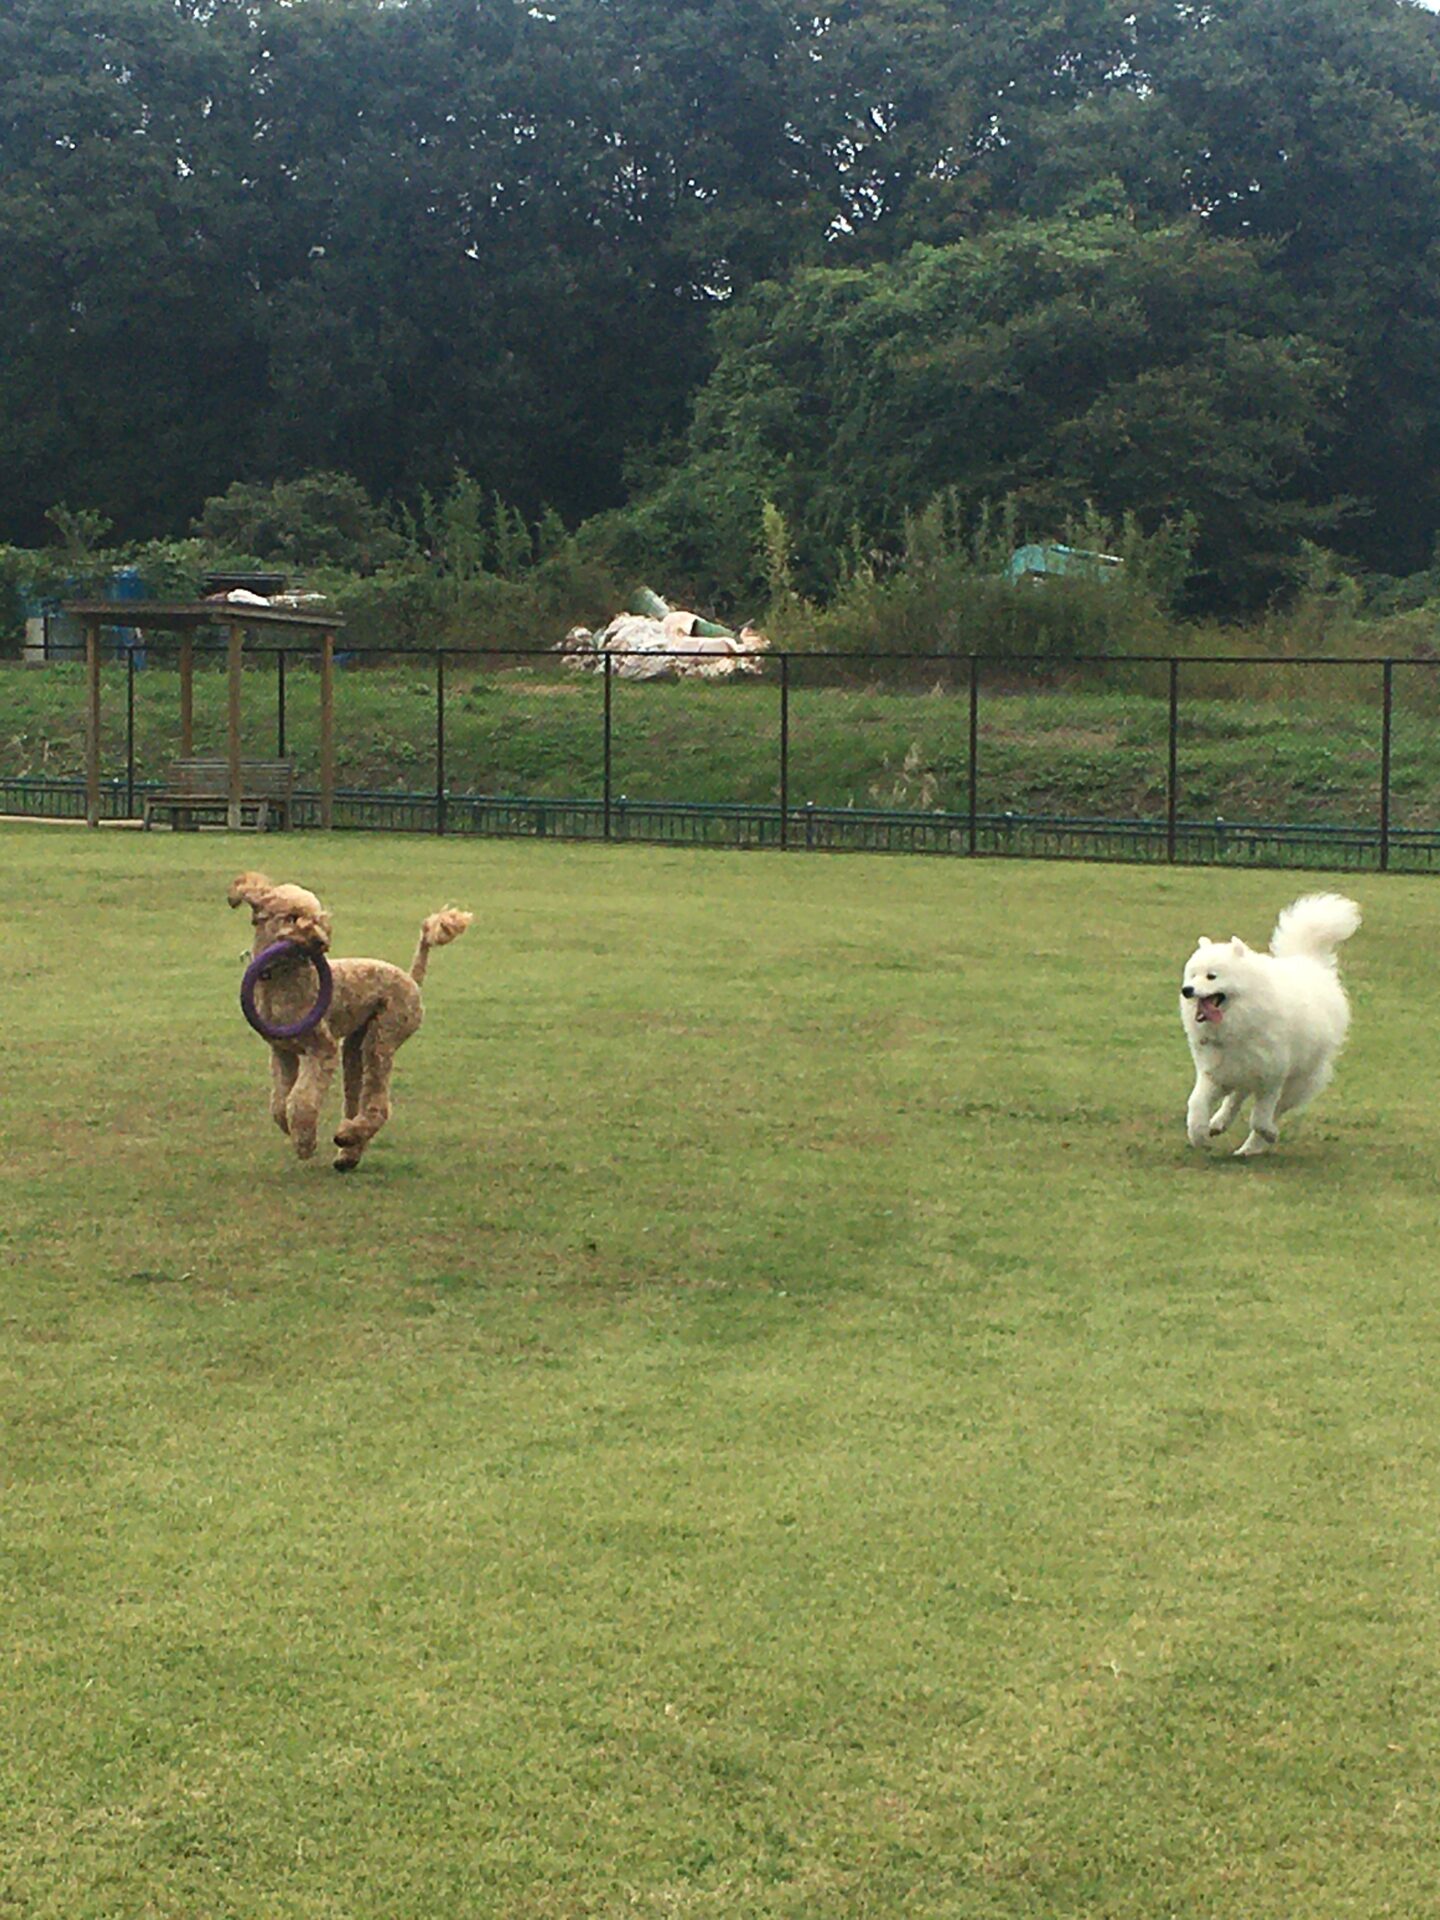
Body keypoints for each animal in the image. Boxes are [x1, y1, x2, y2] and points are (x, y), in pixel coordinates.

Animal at [228, 872, 471, 1170]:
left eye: (319, 919)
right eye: (292, 917)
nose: (321, 942)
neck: (281, 979)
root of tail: (411, 978)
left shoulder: (322, 1049)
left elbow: (302, 1100)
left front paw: (305, 1143)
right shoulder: (281, 1052)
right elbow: (280, 1100)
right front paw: (289, 1128)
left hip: (383, 1037)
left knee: (379, 1105)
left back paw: (347, 1136)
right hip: (355, 1046)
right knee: (356, 1099)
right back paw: (348, 1153)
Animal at [1180, 892, 1361, 1157]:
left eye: (1211, 976)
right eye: (1192, 975)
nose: (1187, 990)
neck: (1239, 1024)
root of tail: (1309, 961)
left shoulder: (1272, 1078)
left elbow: (1260, 1117)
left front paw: (1267, 1134)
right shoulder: (1217, 1073)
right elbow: (1196, 1104)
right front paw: (1199, 1133)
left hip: (1299, 1080)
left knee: (1274, 1108)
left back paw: (1250, 1147)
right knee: (1237, 1098)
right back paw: (1219, 1123)